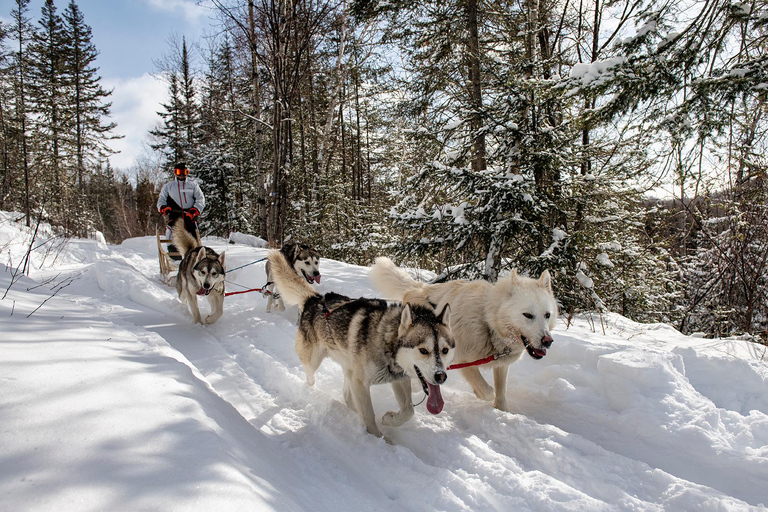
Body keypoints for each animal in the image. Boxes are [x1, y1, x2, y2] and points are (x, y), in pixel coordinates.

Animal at [268, 250, 452, 438]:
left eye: (445, 350)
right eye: (423, 350)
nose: (441, 376)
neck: (385, 341)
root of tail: (315, 299)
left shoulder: (399, 379)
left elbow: (409, 411)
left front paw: (389, 419)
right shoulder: (360, 383)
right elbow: (369, 417)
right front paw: (379, 440)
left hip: (348, 368)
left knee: (347, 396)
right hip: (313, 362)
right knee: (311, 378)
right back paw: (312, 392)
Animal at [368, 256, 556, 412]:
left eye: (547, 315)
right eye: (528, 315)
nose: (547, 341)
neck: (487, 321)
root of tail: (418, 288)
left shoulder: (501, 365)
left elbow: (501, 393)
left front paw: (502, 411)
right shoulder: (463, 361)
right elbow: (488, 391)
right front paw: (481, 394)